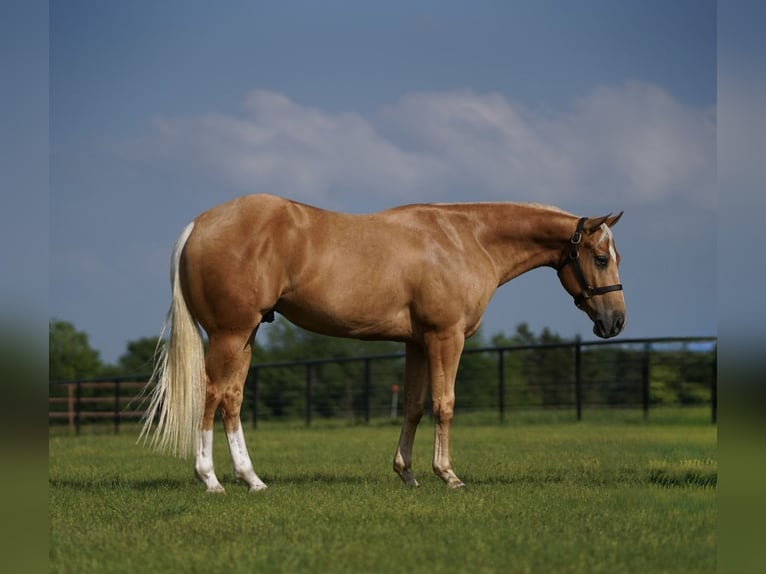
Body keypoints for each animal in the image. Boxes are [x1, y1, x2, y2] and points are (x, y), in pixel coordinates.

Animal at [141, 196, 628, 492]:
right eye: (601, 258)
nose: (616, 321)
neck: (464, 239)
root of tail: (199, 225)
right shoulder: (445, 337)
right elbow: (444, 404)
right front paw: (448, 475)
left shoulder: (416, 342)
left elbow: (413, 405)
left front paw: (407, 474)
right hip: (229, 334)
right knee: (210, 395)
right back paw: (211, 480)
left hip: (246, 336)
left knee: (232, 398)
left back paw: (252, 479)